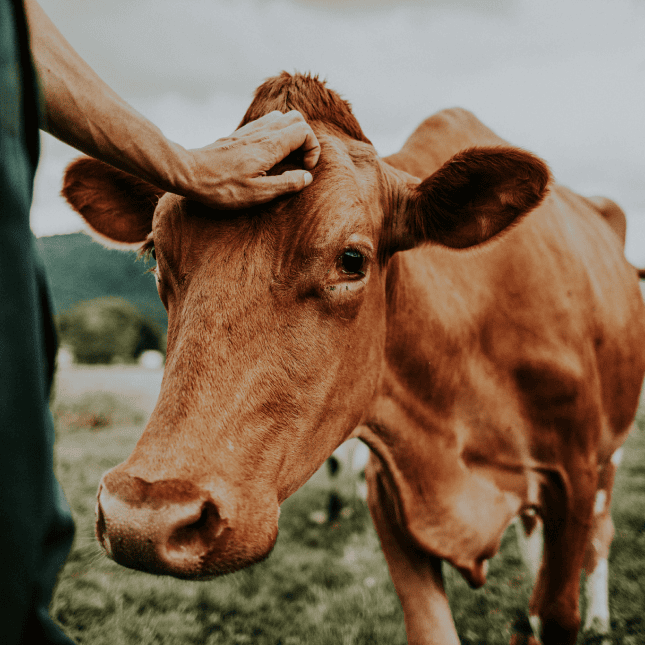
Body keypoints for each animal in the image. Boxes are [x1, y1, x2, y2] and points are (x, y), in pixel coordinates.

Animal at [62, 72, 645, 645]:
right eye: (155, 253)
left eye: (351, 260)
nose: (143, 519)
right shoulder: (389, 491)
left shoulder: (573, 476)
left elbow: (559, 607)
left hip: (609, 456)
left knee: (601, 535)